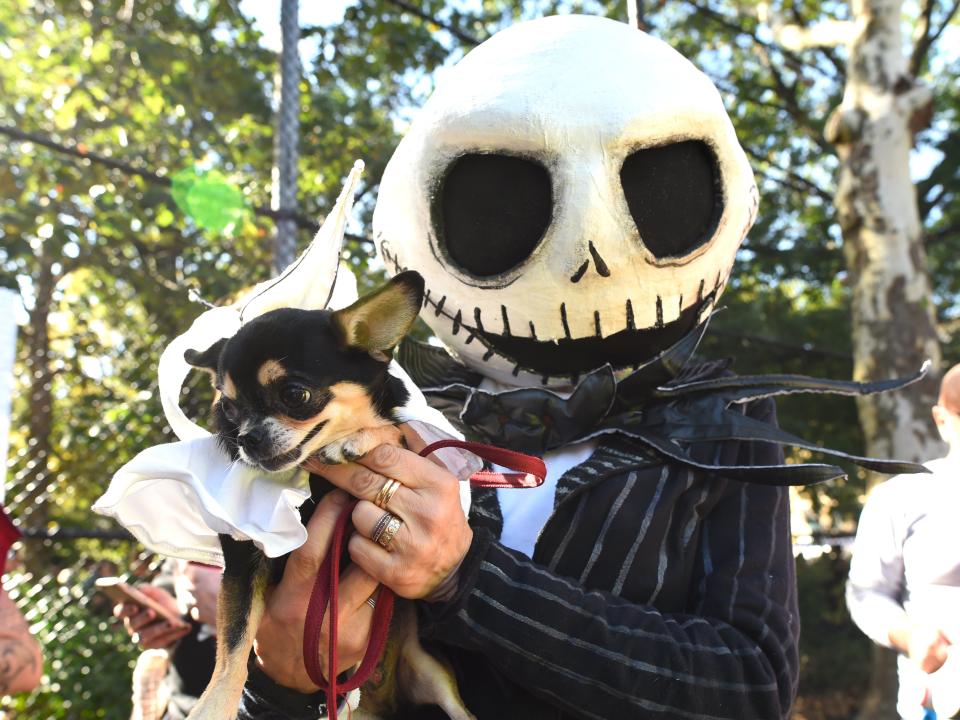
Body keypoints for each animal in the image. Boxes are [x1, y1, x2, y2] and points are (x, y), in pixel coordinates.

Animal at [181, 272, 472, 720]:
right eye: (228, 408)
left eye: (295, 395)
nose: (247, 438)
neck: (312, 482)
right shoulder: (243, 564)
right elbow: (233, 646)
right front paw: (212, 707)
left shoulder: (408, 446)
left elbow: (394, 430)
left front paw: (361, 436)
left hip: (433, 672)